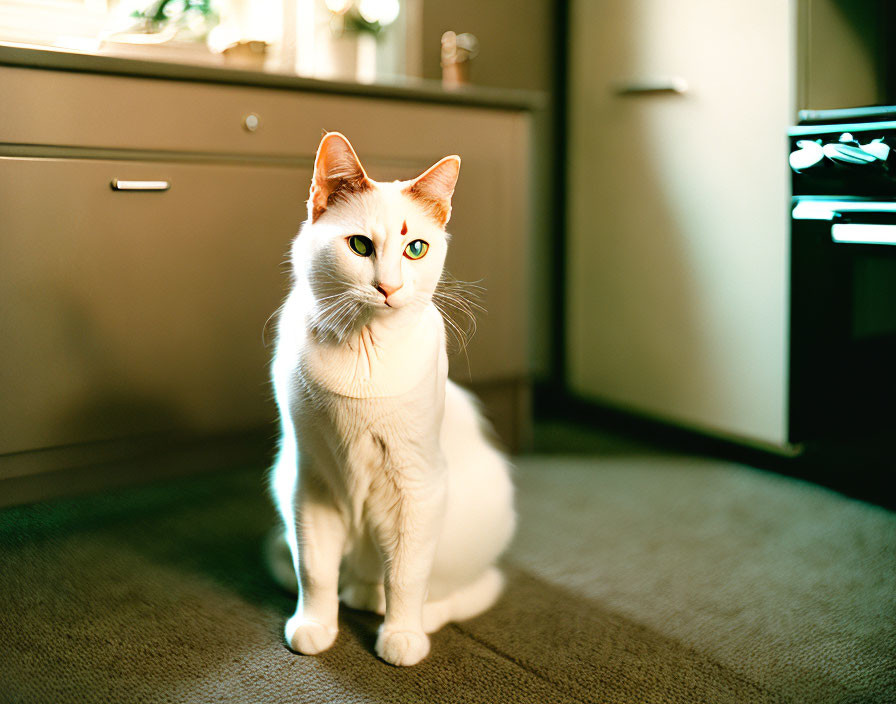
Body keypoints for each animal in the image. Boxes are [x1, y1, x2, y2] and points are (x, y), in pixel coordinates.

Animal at [266, 132, 516, 664]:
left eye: (415, 248)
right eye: (360, 246)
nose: (388, 287)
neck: (364, 354)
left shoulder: (416, 485)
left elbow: (406, 575)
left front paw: (401, 637)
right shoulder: (310, 481)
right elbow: (314, 570)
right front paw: (315, 626)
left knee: (464, 587)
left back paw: (413, 616)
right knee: (343, 576)